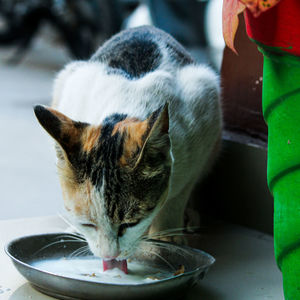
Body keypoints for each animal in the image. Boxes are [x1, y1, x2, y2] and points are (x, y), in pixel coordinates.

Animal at [34, 25, 223, 262]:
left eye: (130, 223)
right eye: (87, 224)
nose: (109, 256)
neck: (124, 105)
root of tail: (145, 27)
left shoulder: (205, 116)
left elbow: (178, 196)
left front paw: (167, 236)